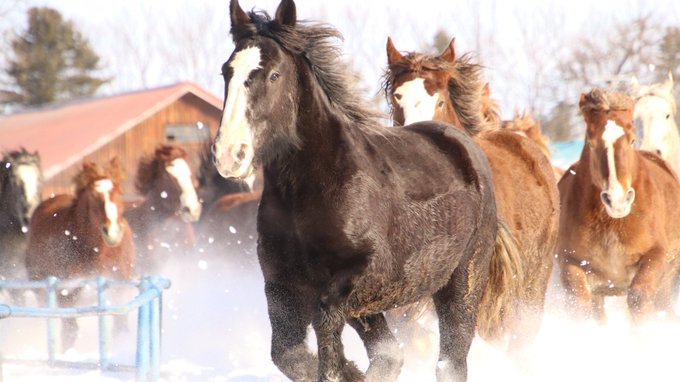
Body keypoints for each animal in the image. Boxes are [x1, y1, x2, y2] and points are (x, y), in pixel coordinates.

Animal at [25, 157, 134, 350]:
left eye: (120, 191)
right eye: (93, 196)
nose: (113, 232)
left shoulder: (120, 290)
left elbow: (120, 327)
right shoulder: (66, 294)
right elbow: (69, 332)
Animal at [212, 1, 510, 380]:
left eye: (274, 75)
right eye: (227, 72)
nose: (228, 154)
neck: (313, 189)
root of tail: (465, 144)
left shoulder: (368, 275)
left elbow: (325, 326)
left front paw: (338, 368)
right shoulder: (281, 285)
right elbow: (288, 354)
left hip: (463, 281)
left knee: (451, 361)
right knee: (391, 353)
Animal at [556, 89, 680, 322]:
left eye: (631, 140)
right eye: (591, 143)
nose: (618, 200)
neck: (612, 222)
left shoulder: (655, 255)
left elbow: (638, 298)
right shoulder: (571, 262)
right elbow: (580, 304)